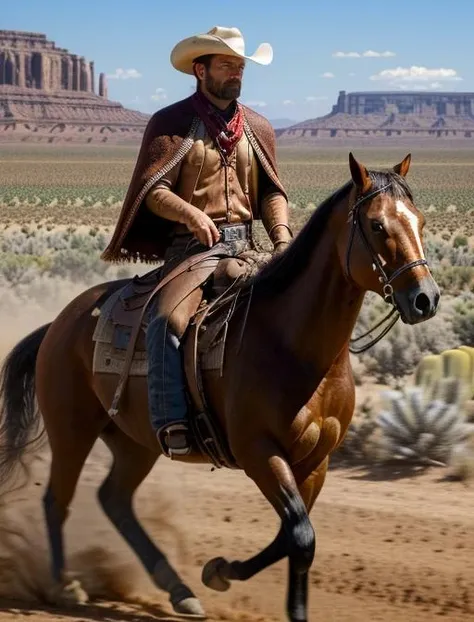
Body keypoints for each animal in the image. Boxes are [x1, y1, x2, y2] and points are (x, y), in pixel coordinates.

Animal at [0, 154, 438, 620]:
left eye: (420, 221)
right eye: (377, 225)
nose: (425, 298)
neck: (293, 345)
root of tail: (57, 325)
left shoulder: (316, 461)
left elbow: (293, 537)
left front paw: (224, 573)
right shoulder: (259, 452)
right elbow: (300, 535)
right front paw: (227, 575)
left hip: (135, 442)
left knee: (114, 498)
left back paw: (178, 589)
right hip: (72, 431)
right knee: (57, 499)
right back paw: (65, 587)